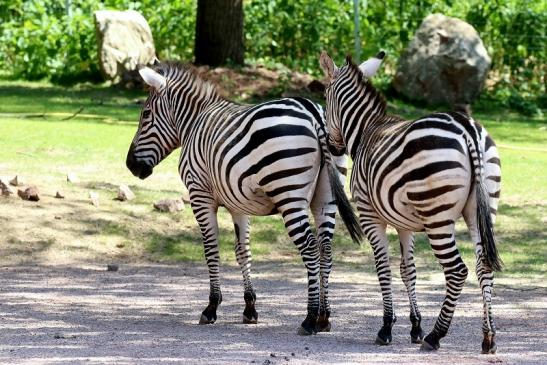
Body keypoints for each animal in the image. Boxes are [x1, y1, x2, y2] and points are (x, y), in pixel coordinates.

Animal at [126, 61, 362, 334]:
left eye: (145, 115)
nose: (130, 165)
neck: (193, 123)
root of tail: (313, 113)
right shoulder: (238, 203)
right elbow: (243, 251)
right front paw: (250, 308)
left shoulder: (200, 195)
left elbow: (211, 249)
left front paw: (211, 307)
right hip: (325, 198)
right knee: (325, 249)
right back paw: (324, 317)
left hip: (290, 196)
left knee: (311, 249)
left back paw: (309, 318)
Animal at [318, 52, 504, 352]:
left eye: (325, 96)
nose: (333, 147)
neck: (366, 131)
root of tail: (467, 129)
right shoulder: (405, 224)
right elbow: (408, 270)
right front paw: (416, 326)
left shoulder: (370, 216)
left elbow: (383, 267)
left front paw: (387, 327)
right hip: (480, 211)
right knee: (483, 266)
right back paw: (488, 338)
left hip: (437, 218)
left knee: (457, 270)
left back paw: (436, 336)